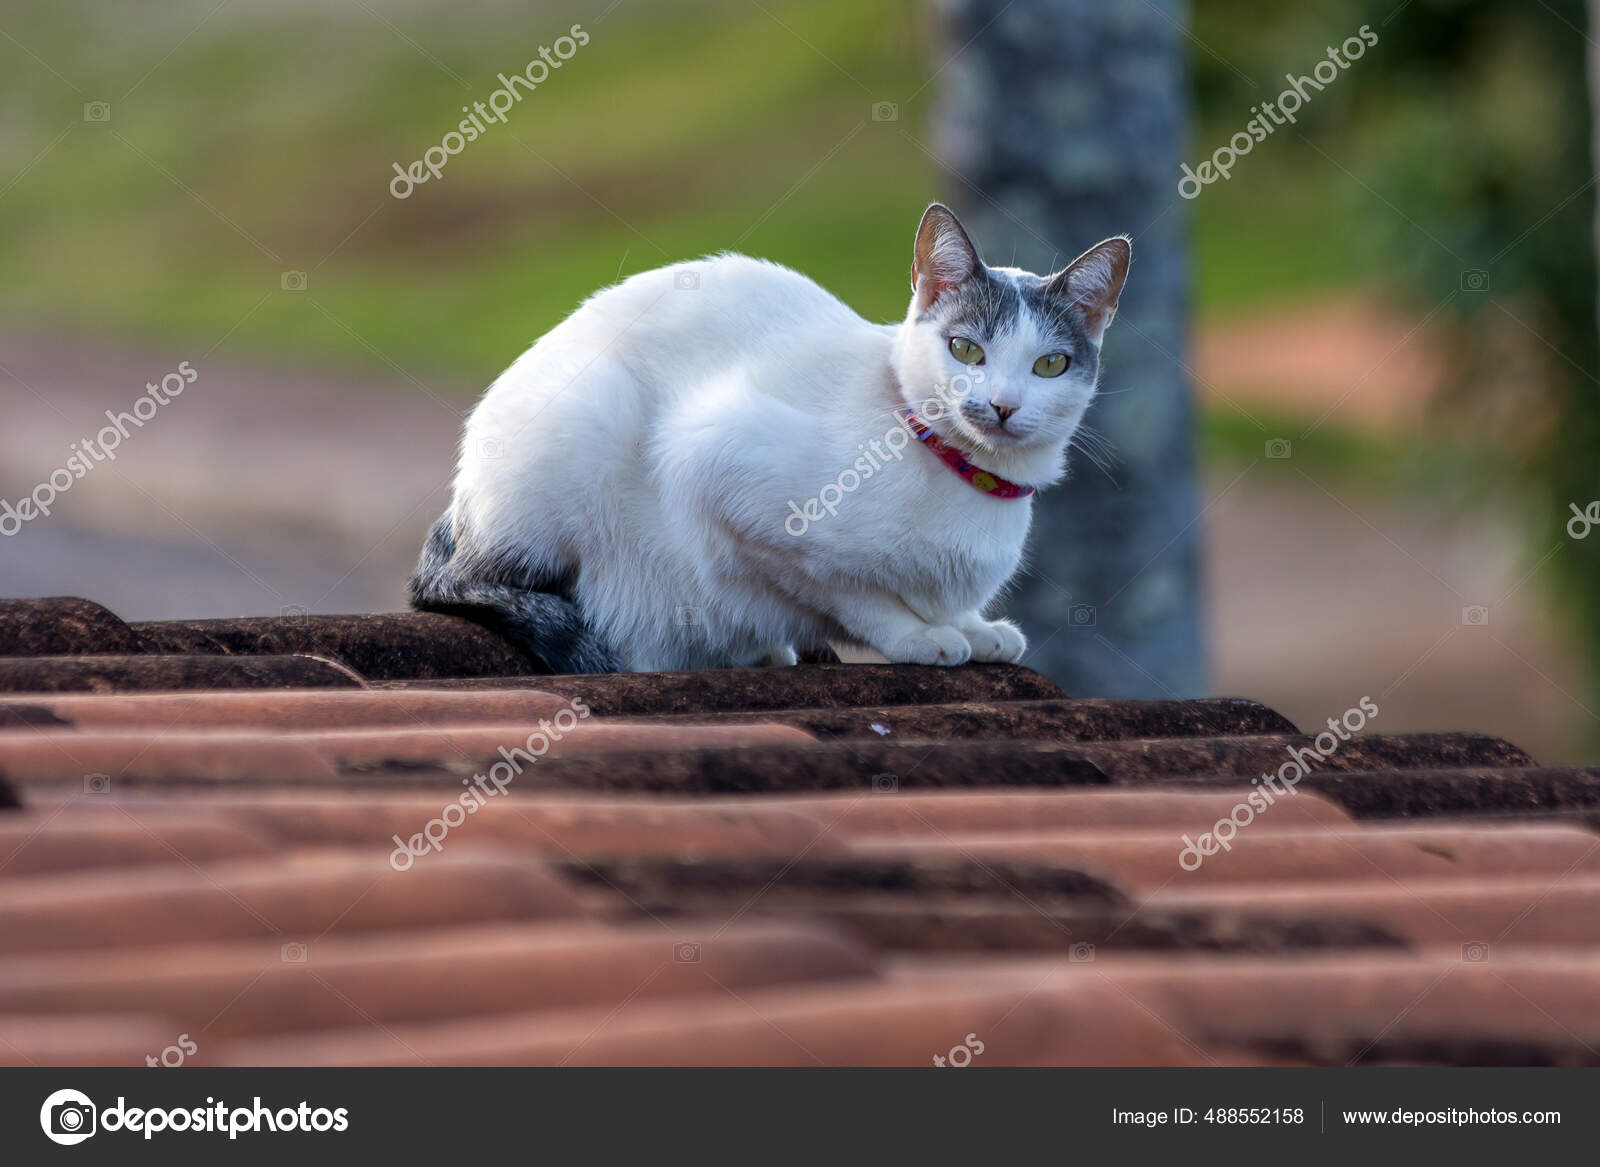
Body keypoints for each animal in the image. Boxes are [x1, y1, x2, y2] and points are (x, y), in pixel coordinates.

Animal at [416, 204, 1139, 669]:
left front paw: (972, 627)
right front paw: (917, 637)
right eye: (966, 349)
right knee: (481, 581)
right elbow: (849, 594)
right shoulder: (719, 471)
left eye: (1051, 365)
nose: (1002, 405)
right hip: (588, 417)